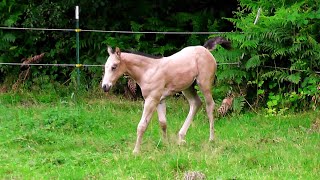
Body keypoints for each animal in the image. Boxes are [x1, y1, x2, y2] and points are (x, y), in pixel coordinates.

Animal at [102, 36, 230, 153]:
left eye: (114, 67)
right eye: (105, 66)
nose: (105, 86)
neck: (148, 71)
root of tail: (205, 49)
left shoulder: (151, 100)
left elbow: (142, 126)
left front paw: (136, 151)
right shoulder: (160, 100)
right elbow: (163, 123)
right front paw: (165, 145)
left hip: (204, 84)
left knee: (210, 106)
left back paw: (211, 139)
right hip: (187, 87)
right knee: (196, 103)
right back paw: (181, 138)